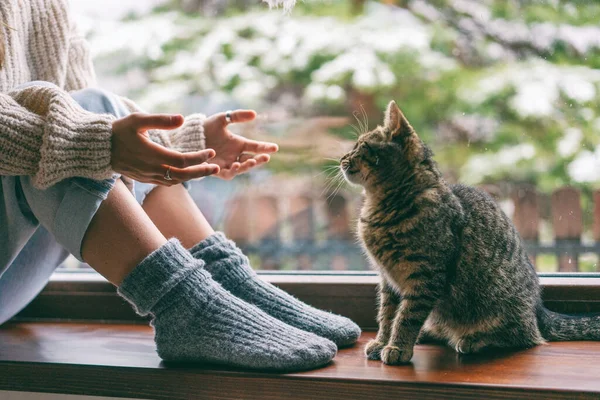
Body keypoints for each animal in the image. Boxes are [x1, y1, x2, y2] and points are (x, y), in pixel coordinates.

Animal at [342, 101, 600, 366]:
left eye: (361, 146)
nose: (342, 158)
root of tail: (537, 308)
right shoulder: (388, 280)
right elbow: (387, 315)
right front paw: (383, 341)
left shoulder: (426, 276)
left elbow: (407, 316)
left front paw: (398, 346)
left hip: (501, 305)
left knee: (525, 336)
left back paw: (473, 340)